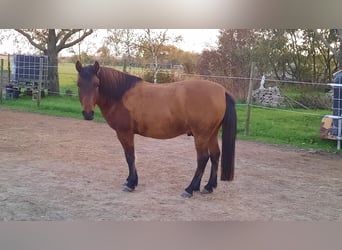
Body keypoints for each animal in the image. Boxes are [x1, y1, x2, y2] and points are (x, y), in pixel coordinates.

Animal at [75, 60, 235, 197]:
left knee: (203, 159)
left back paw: (190, 189)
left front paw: (131, 184)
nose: (88, 114)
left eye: (96, 84)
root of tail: (222, 91)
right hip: (211, 134)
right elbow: (130, 157)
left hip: (201, 135)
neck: (121, 95)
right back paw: (208, 187)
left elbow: (130, 157)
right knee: (215, 155)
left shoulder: (125, 133)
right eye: (79, 84)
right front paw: (130, 180)